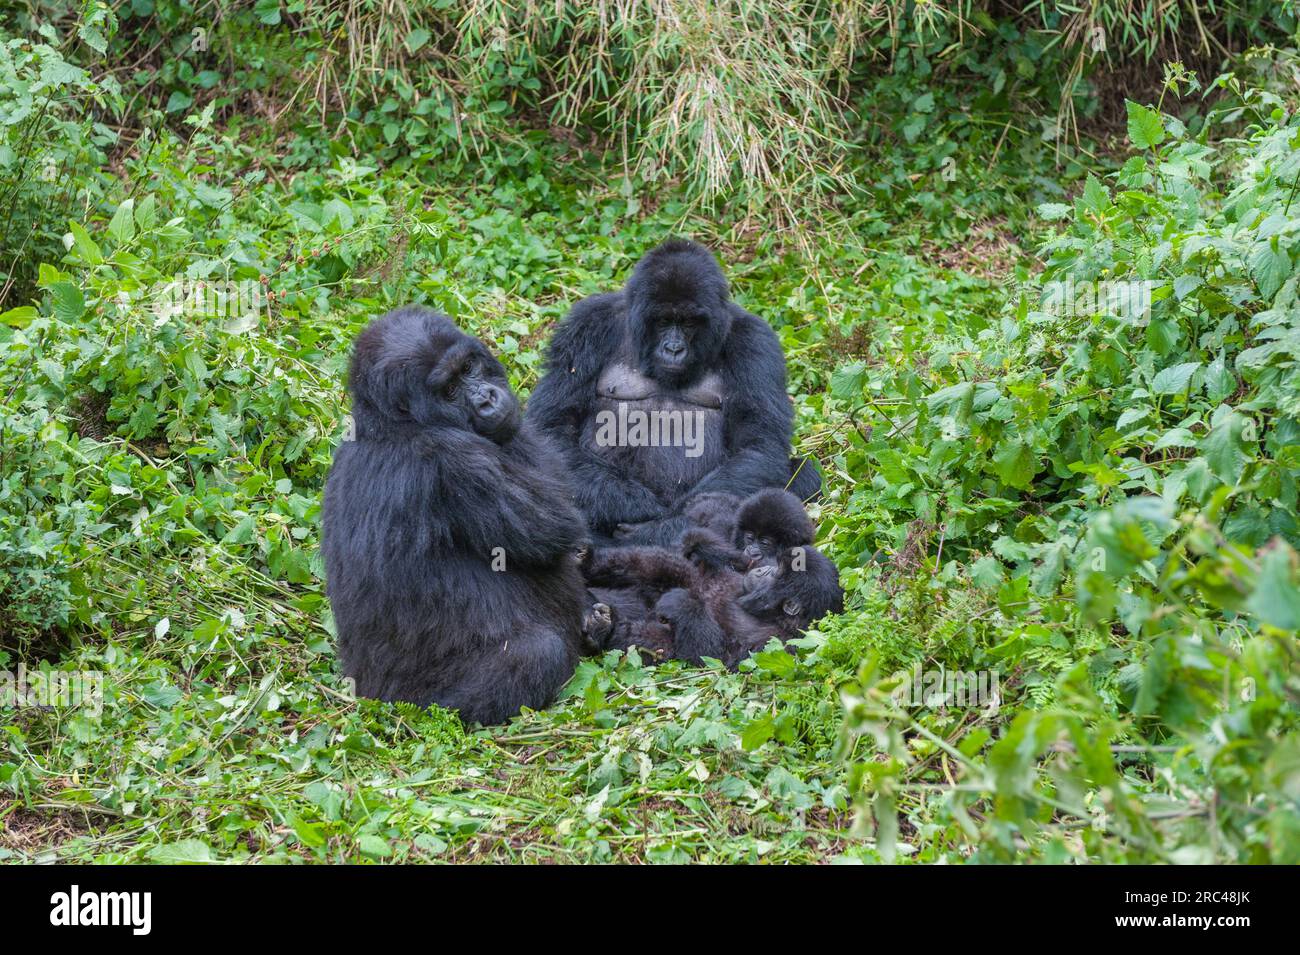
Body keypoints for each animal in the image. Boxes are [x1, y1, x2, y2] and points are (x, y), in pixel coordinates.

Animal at [322, 306, 592, 722]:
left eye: (467, 368)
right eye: (449, 391)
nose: (486, 400)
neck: (388, 425)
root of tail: (364, 693)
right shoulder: (456, 460)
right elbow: (557, 528)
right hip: (416, 704)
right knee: (539, 654)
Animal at [525, 237, 811, 545]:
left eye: (688, 323)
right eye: (663, 321)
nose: (674, 349)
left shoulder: (755, 341)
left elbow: (758, 445)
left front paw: (664, 527)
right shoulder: (586, 326)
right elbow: (553, 429)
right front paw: (638, 507)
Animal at [582, 488, 842, 670]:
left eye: (777, 575)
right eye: (776, 567)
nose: (762, 569)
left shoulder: (776, 644)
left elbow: (714, 656)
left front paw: (680, 604)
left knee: (658, 640)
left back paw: (604, 628)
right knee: (657, 565)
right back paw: (587, 562)